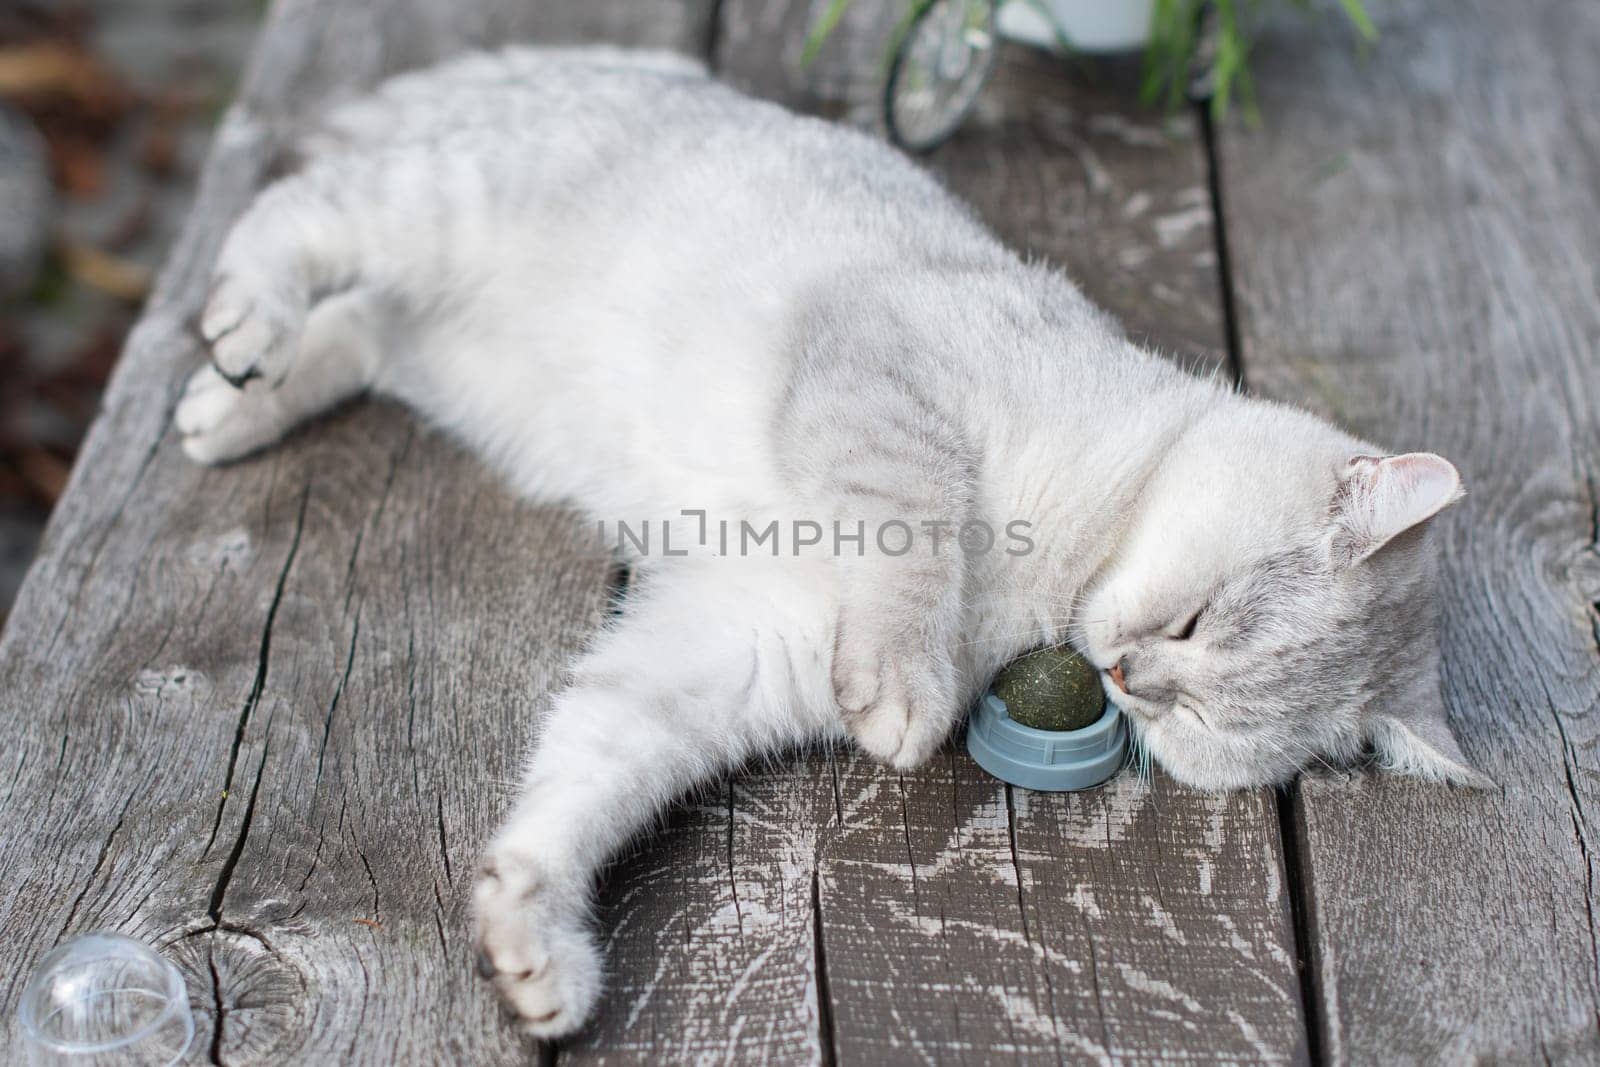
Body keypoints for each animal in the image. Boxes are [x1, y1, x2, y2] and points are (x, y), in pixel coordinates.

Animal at [175, 47, 1484, 1036]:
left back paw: (234, 402)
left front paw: (534, 937)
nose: (1126, 675)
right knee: (296, 213)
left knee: (358, 326)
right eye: (1195, 622)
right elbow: (914, 526)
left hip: (437, 339)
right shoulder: (878, 370)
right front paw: (906, 685)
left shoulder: (727, 645)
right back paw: (242, 331)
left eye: (1195, 721)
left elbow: (587, 769)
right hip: (446, 203)